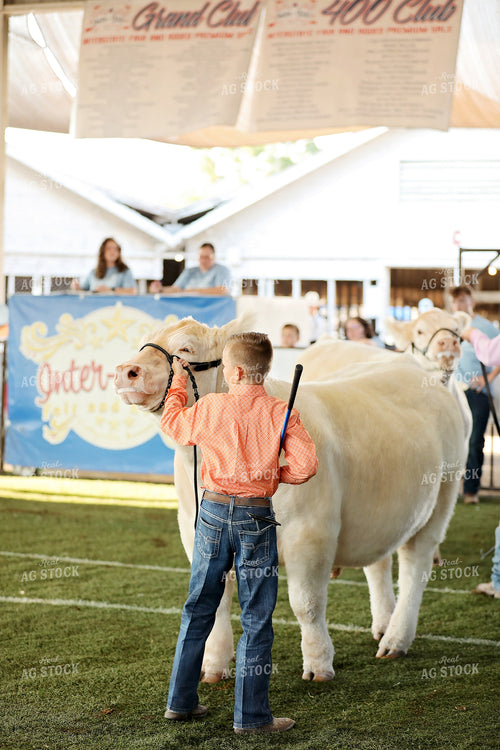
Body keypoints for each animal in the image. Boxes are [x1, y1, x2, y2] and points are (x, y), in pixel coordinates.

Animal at [115, 316, 465, 683]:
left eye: (185, 348)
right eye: (143, 343)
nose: (126, 370)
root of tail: (409, 365)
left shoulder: (310, 533)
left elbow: (306, 603)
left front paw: (319, 664)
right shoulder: (193, 529)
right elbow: (218, 601)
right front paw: (213, 666)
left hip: (442, 497)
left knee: (415, 567)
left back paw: (397, 639)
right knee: (379, 563)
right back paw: (384, 625)